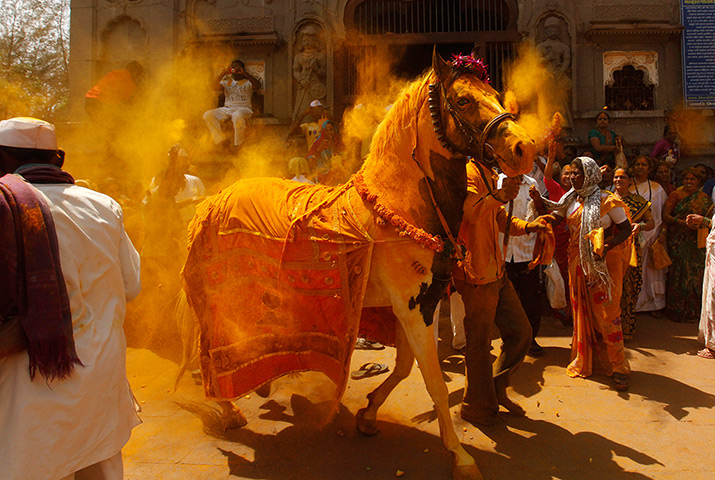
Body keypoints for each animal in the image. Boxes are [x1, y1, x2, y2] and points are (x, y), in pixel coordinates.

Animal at [179, 49, 535, 480]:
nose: (524, 148)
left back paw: (264, 387)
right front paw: (461, 457)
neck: (399, 208)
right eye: (464, 100)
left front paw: (367, 415)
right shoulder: (412, 306)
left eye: (496, 95)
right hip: (219, 304)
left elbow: (404, 366)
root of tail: (214, 198)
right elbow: (432, 380)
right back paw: (226, 406)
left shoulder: (420, 303)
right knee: (210, 349)